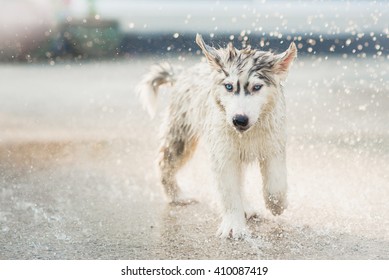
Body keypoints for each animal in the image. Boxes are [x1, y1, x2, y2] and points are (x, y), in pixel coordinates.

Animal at [138, 33, 296, 238]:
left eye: (257, 87)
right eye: (229, 87)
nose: (239, 120)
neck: (247, 133)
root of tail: (184, 74)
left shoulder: (273, 145)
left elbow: (275, 185)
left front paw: (277, 205)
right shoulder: (223, 154)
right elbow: (229, 192)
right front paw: (233, 225)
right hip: (182, 136)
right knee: (165, 163)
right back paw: (177, 196)